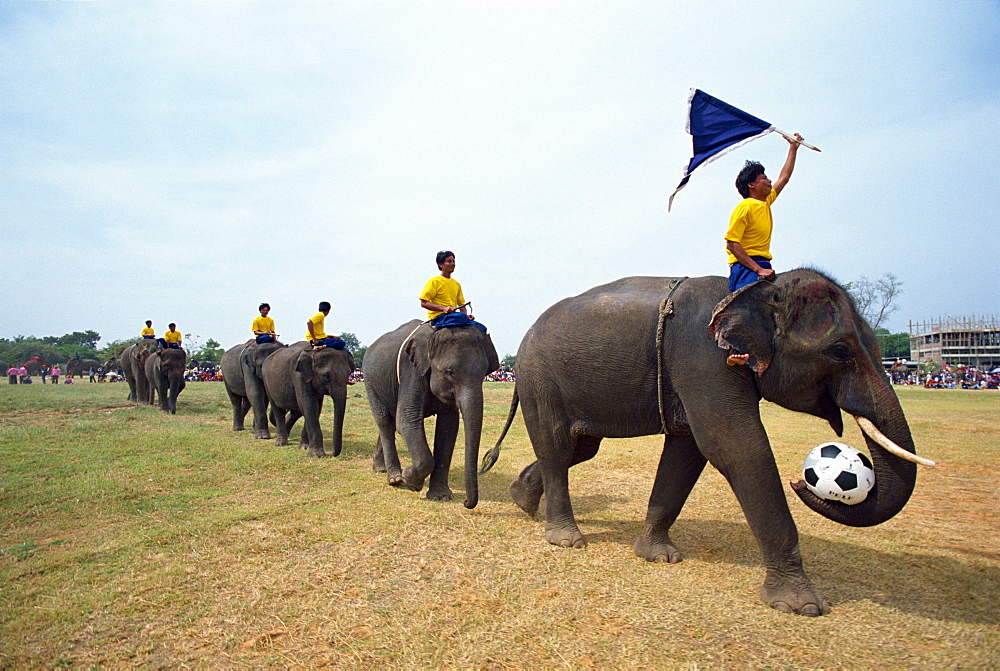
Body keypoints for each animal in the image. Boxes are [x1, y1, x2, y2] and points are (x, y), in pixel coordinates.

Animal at [364, 322, 500, 510]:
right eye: (450, 372)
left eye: (484, 373)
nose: (466, 502)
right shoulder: (411, 370)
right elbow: (407, 419)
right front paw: (411, 480)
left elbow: (448, 426)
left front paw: (440, 497)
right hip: (369, 381)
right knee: (385, 421)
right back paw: (395, 478)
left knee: (390, 422)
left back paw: (380, 468)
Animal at [488, 270, 932, 616]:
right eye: (840, 351)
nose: (803, 481)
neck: (751, 290)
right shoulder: (703, 358)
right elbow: (736, 446)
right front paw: (804, 606)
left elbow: (689, 450)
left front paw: (659, 556)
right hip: (539, 377)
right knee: (558, 446)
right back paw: (566, 539)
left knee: (580, 447)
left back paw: (521, 499)